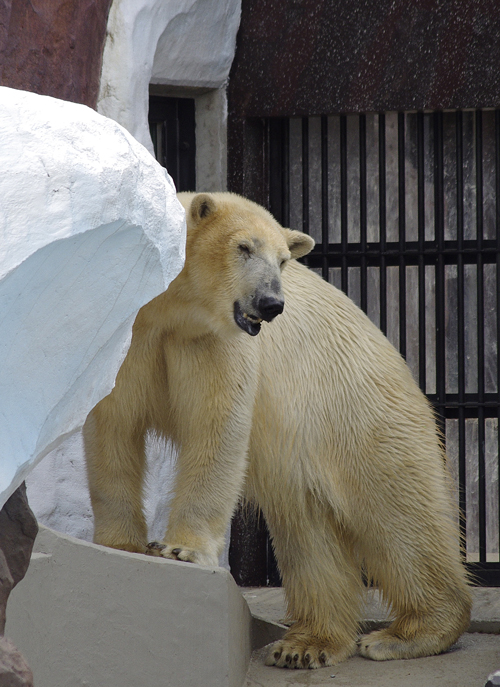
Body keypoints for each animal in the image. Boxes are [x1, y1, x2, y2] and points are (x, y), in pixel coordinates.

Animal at [84, 194, 470, 672]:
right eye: (244, 247)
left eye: (284, 259)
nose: (271, 303)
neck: (171, 312)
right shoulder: (134, 338)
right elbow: (113, 428)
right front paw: (120, 545)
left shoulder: (217, 344)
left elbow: (217, 430)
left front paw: (181, 550)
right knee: (308, 534)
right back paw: (306, 644)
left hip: (361, 414)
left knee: (400, 513)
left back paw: (405, 634)